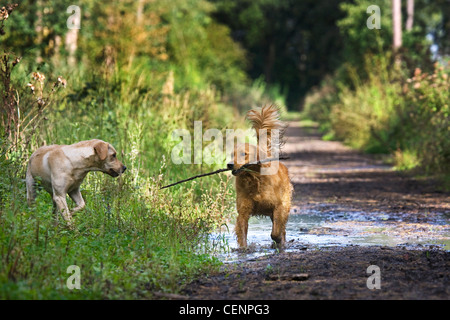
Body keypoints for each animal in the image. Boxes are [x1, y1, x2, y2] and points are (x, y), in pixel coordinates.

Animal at [227, 106, 294, 249]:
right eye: (232, 154)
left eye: (244, 154)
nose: (229, 164)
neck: (255, 179)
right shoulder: (243, 211)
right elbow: (242, 232)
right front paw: (244, 248)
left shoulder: (278, 206)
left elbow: (276, 231)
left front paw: (278, 239)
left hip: (285, 203)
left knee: (282, 227)